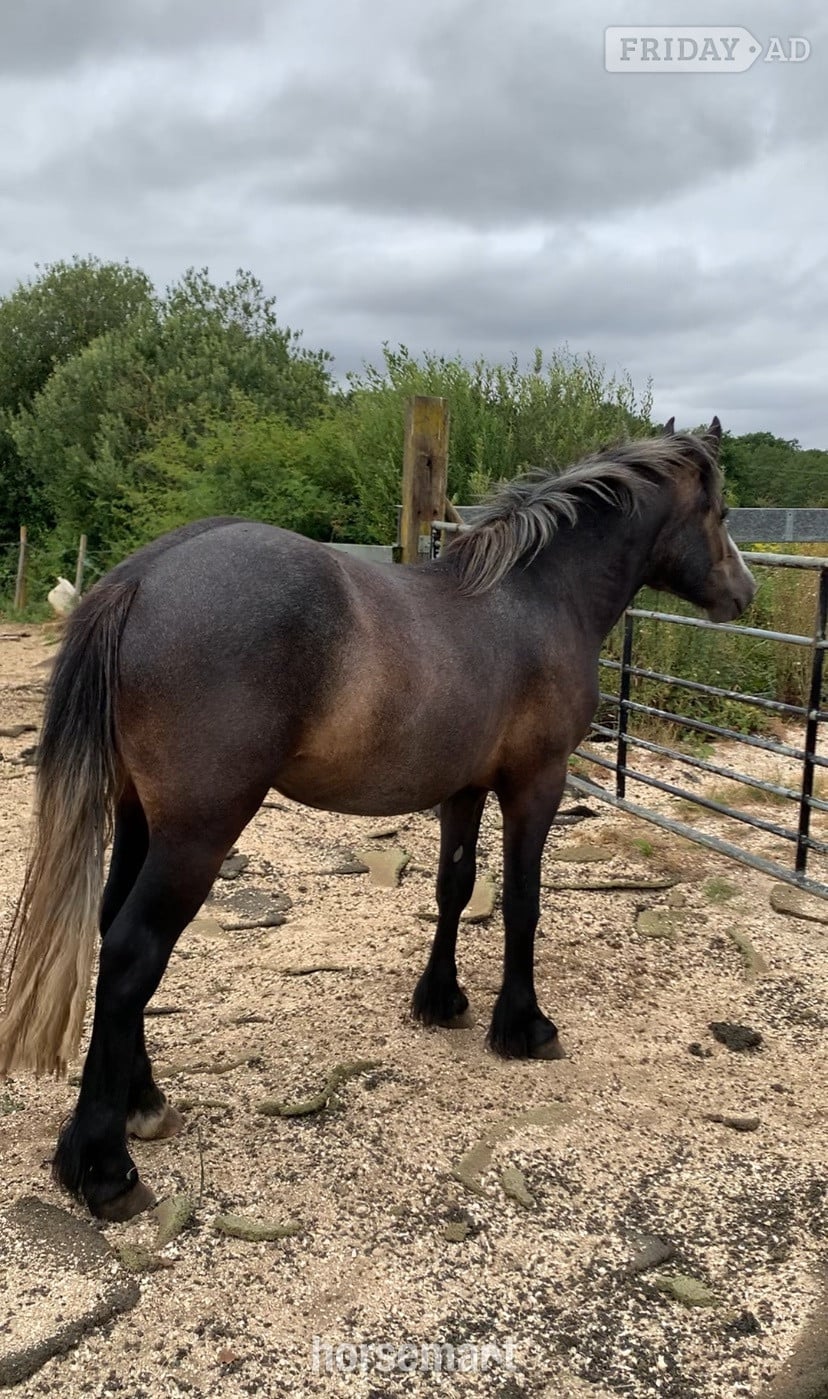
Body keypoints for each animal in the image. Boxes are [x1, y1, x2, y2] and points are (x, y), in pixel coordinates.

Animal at [0, 417, 756, 1221]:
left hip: (140, 816)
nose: (745, 591)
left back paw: (142, 1104)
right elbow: (523, 903)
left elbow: (454, 888)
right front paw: (523, 1025)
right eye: (722, 512)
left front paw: (441, 999)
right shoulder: (536, 784)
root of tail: (140, 577)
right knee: (132, 954)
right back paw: (103, 1166)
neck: (534, 598)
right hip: (197, 831)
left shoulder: (463, 788)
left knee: (112, 930)